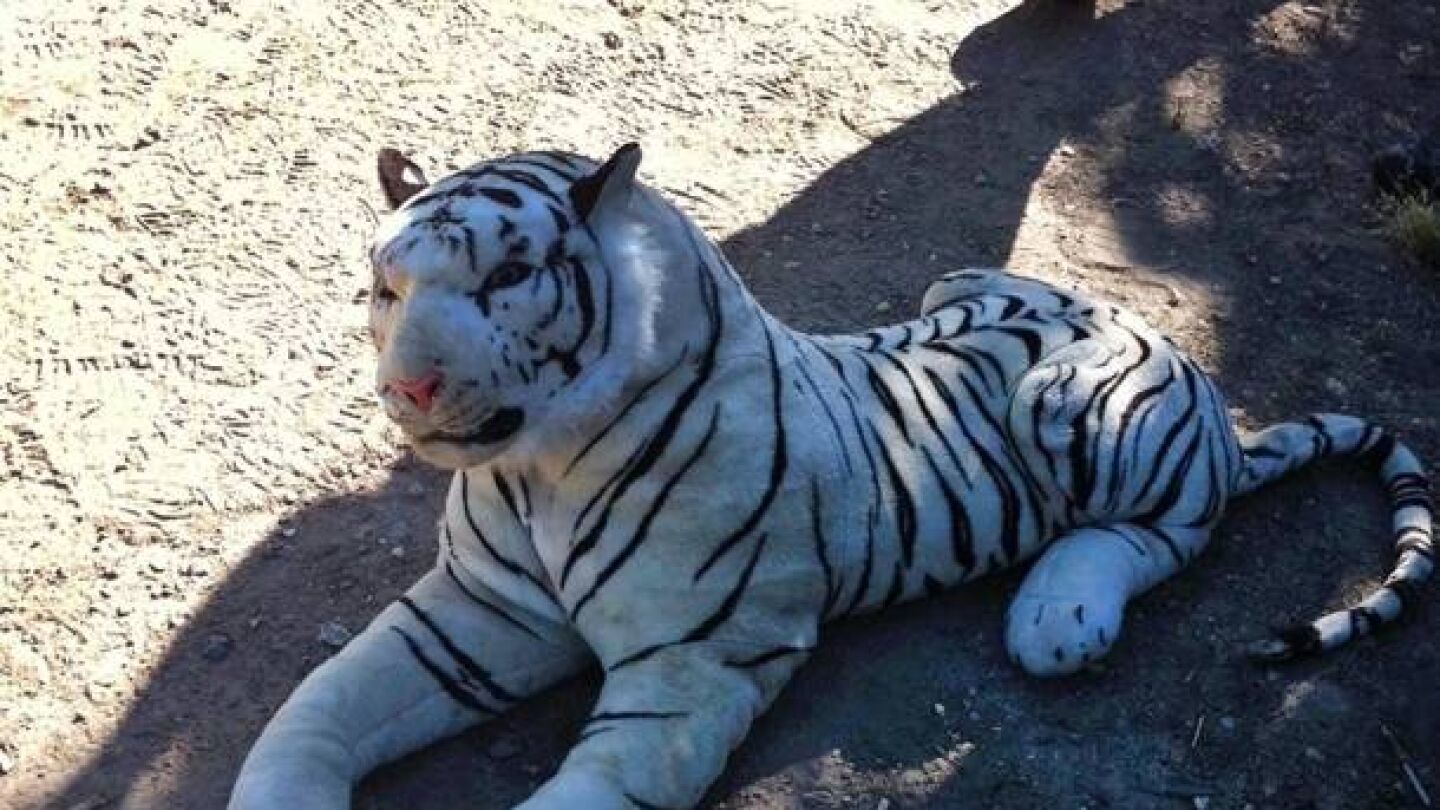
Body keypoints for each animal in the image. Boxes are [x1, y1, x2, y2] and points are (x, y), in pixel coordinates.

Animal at [229, 144, 1434, 810]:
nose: (407, 389)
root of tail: (1207, 391)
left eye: (509, 277)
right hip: (959, 281)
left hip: (1074, 406)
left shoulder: (688, 670)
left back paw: (1061, 614)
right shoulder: (481, 614)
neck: (534, 468)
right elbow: (314, 704)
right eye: (385, 289)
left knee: (1174, 523)